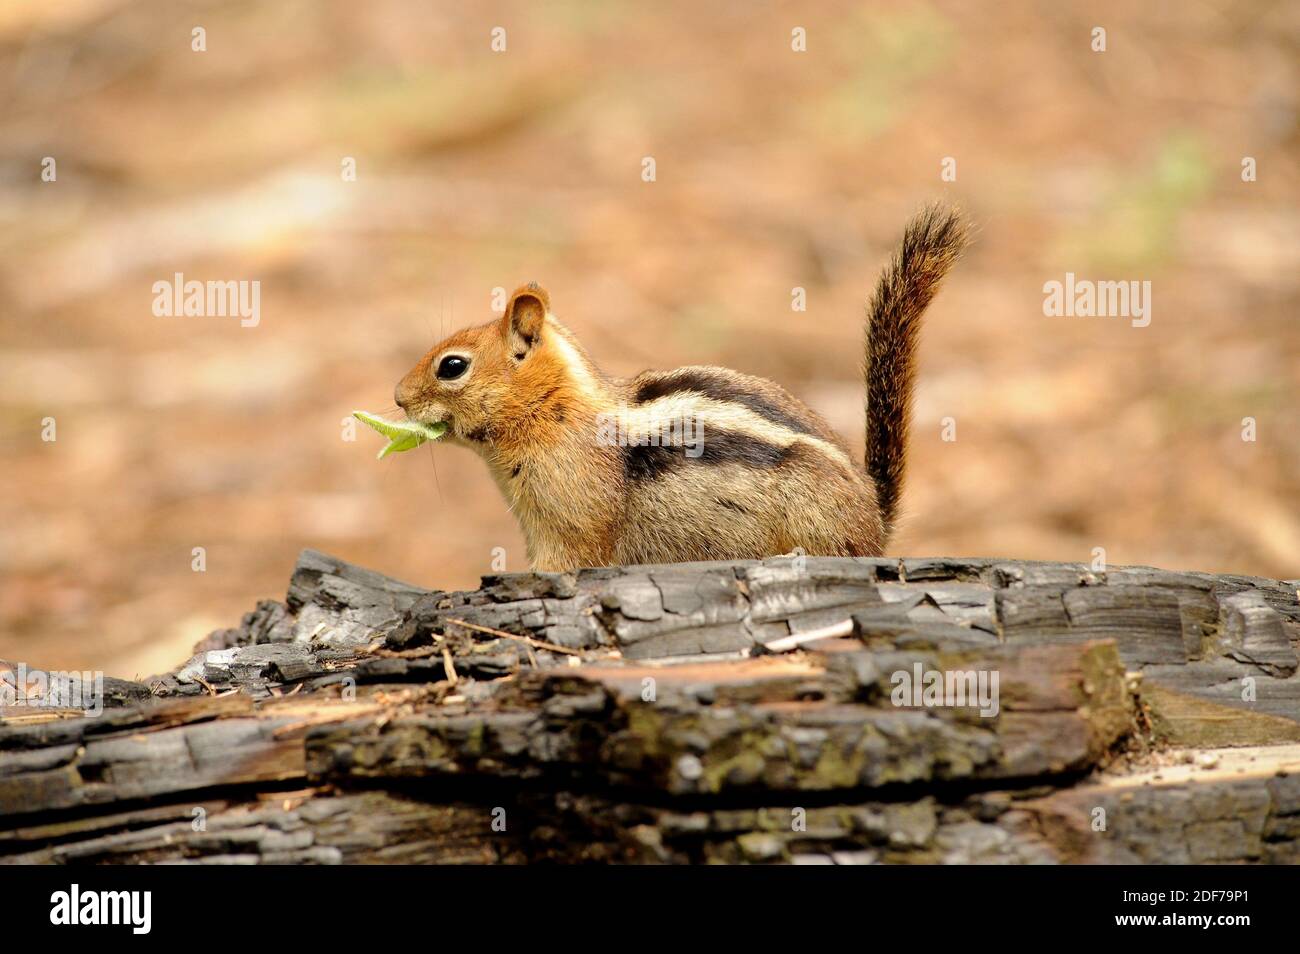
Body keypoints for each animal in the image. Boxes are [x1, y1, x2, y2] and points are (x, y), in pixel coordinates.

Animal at [394, 204, 969, 572]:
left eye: (451, 366)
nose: (398, 397)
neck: (554, 410)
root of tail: (875, 517)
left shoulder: (570, 525)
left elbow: (564, 563)